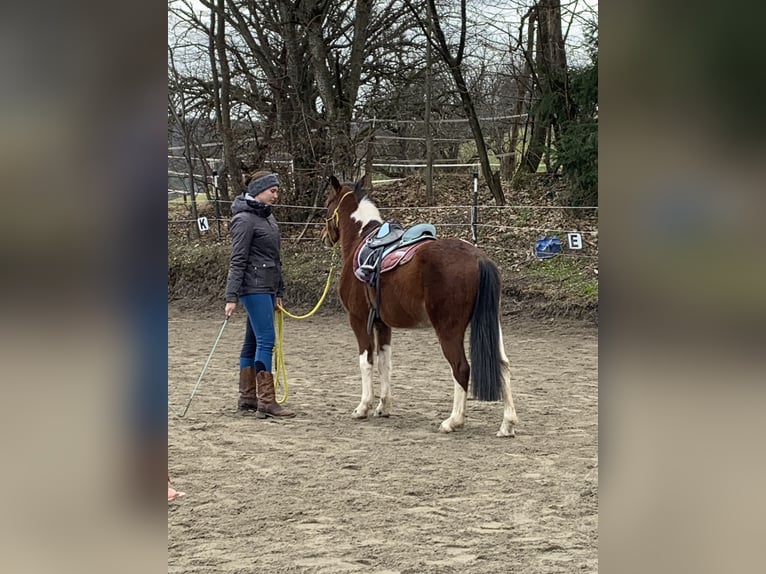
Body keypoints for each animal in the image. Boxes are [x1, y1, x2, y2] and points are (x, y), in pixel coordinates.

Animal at [320, 178, 520, 438]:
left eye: (326, 204)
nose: (324, 236)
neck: (360, 241)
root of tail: (478, 258)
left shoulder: (359, 320)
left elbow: (367, 361)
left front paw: (363, 407)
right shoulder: (382, 324)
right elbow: (385, 362)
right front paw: (384, 407)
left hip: (448, 331)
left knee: (461, 368)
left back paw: (453, 421)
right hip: (491, 325)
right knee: (502, 365)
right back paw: (507, 424)